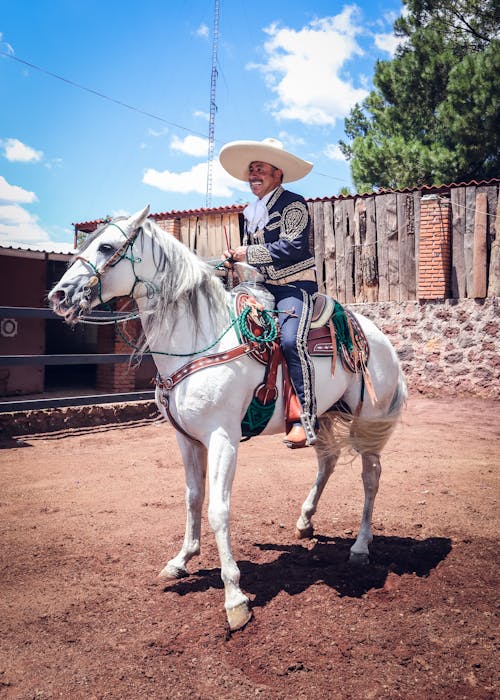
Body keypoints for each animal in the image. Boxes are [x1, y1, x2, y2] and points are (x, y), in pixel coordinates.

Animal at [48, 205, 406, 632]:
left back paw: (361, 546)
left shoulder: (223, 438)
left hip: (369, 420)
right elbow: (193, 498)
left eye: (106, 247)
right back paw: (305, 522)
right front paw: (181, 560)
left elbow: (218, 510)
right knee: (328, 461)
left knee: (371, 478)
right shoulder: (186, 439)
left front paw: (235, 597)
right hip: (323, 414)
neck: (200, 340)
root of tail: (378, 338)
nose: (58, 296)